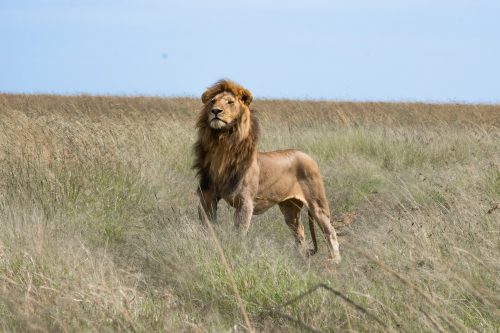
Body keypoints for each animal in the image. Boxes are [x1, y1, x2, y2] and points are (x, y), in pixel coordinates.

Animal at [193, 80, 342, 262]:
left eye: (230, 102)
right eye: (213, 101)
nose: (215, 111)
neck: (222, 145)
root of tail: (307, 155)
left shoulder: (245, 202)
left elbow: (239, 233)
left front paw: (236, 252)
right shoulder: (208, 197)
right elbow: (208, 228)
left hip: (317, 203)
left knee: (330, 231)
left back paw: (334, 261)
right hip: (289, 208)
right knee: (299, 232)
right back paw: (299, 258)